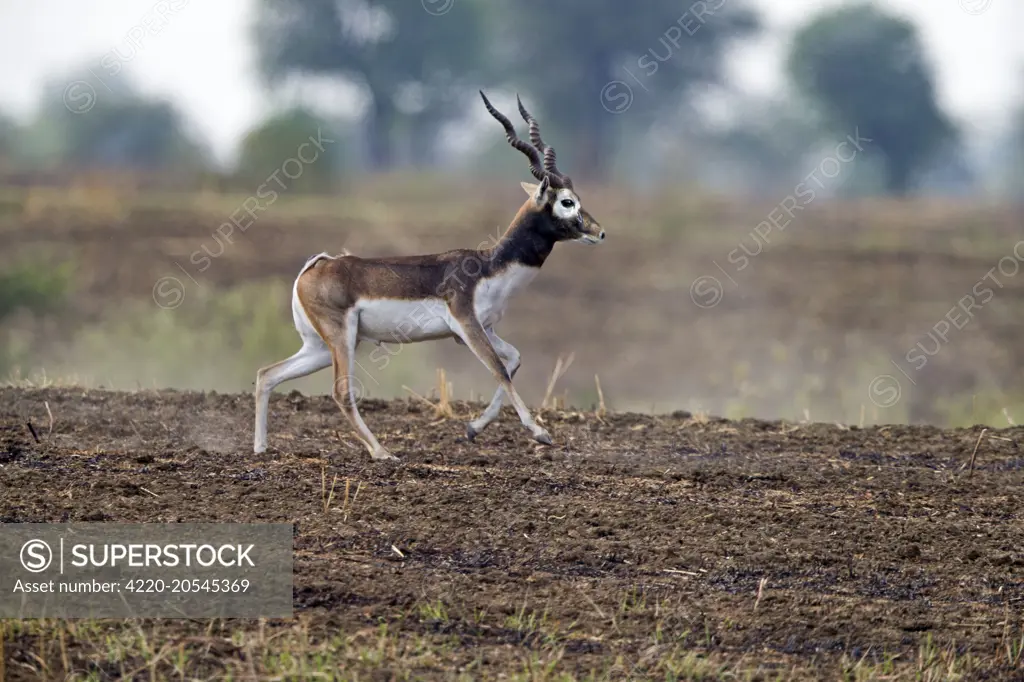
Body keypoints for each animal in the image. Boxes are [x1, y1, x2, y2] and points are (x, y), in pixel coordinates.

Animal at [254, 90, 602, 456]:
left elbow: (513, 360)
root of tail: (317, 265)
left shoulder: (482, 328)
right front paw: (540, 432)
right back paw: (382, 452)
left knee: (267, 374)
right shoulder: (466, 324)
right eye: (566, 202)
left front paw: (474, 428)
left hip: (319, 347)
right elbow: (499, 370)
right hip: (341, 338)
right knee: (340, 391)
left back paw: (261, 449)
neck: (489, 267)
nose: (599, 232)